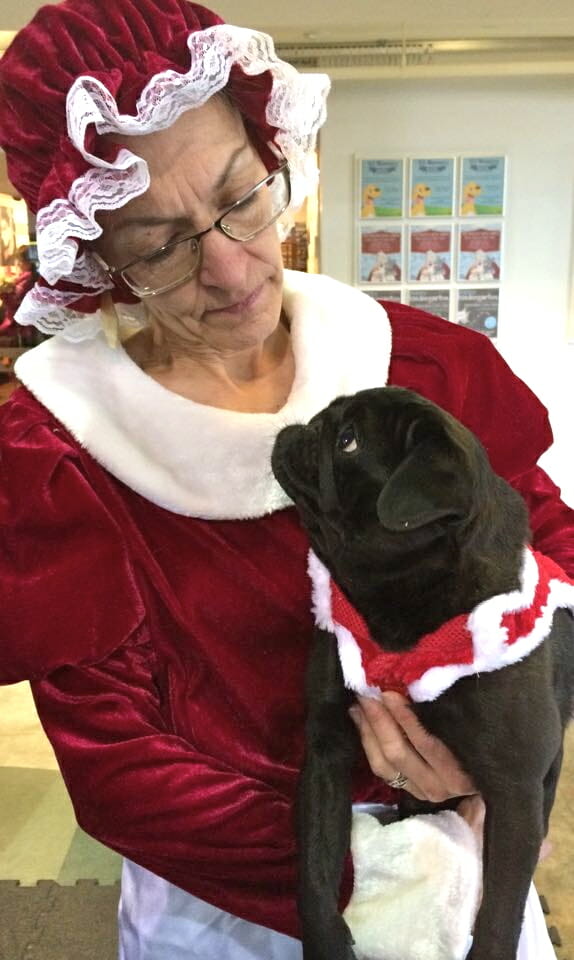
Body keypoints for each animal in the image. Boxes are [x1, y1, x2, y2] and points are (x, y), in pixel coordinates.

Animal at [272, 386, 574, 960]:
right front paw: (326, 942)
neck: (398, 611)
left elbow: (499, 911)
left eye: (349, 441)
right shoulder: (326, 753)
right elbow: (317, 870)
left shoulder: (515, 791)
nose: (305, 425)